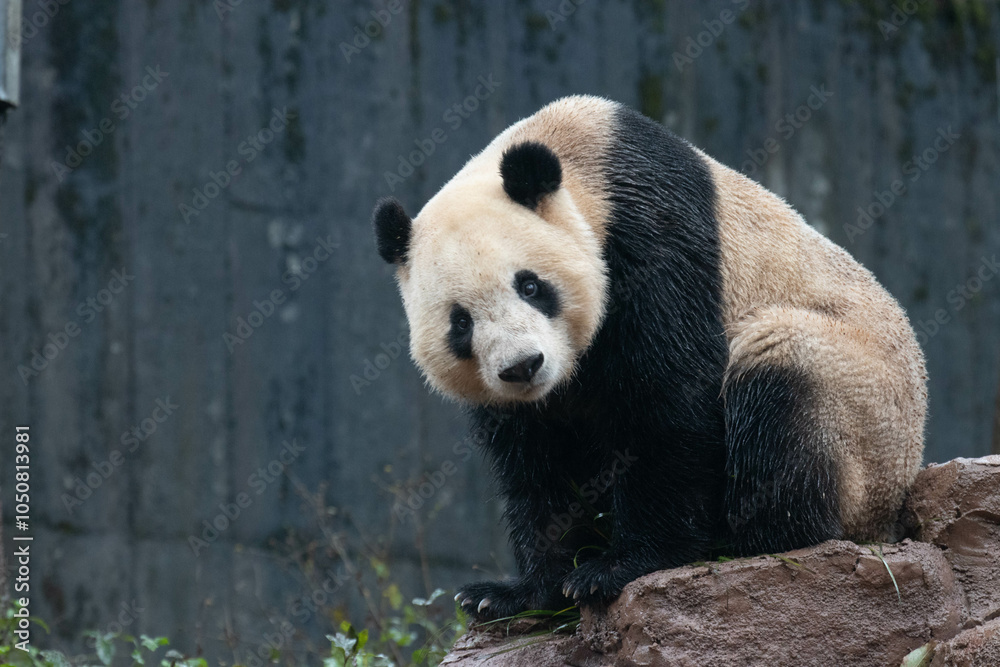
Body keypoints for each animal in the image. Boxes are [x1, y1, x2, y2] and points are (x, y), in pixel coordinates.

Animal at [372, 95, 927, 621]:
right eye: (460, 322)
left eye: (530, 286)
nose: (523, 367)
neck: (582, 164)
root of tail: (893, 494)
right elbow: (535, 458)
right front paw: (514, 593)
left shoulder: (650, 240)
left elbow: (668, 402)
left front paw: (617, 568)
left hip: (859, 400)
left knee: (781, 389)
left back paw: (744, 541)